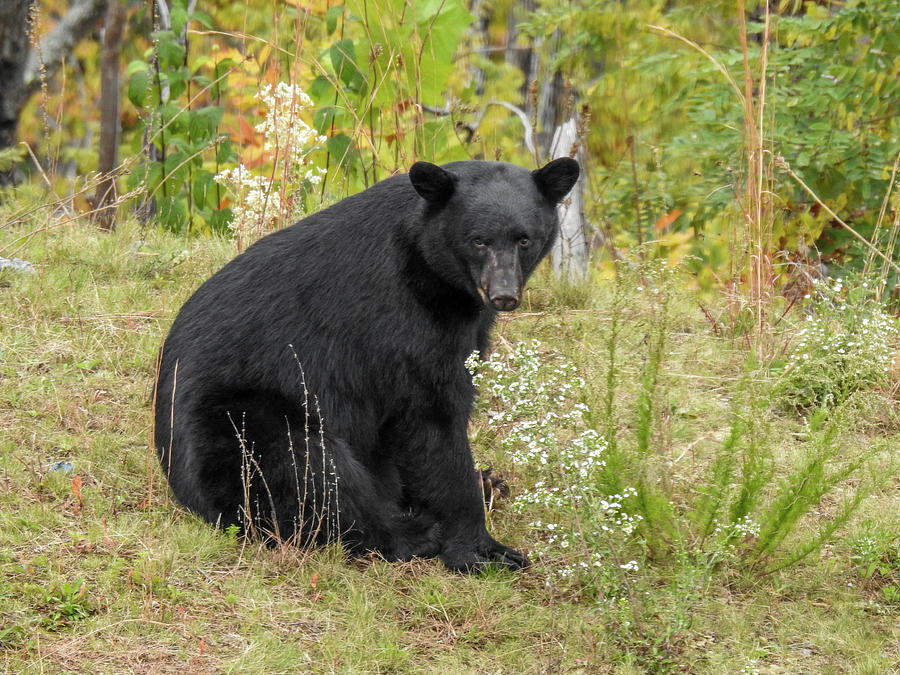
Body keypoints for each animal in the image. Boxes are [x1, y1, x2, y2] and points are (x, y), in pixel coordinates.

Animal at [153, 161, 576, 572]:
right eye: (478, 240)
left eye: (524, 239)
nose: (503, 295)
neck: (435, 273)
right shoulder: (404, 322)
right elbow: (433, 418)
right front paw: (484, 550)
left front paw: (480, 490)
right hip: (240, 424)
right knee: (310, 470)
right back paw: (411, 534)